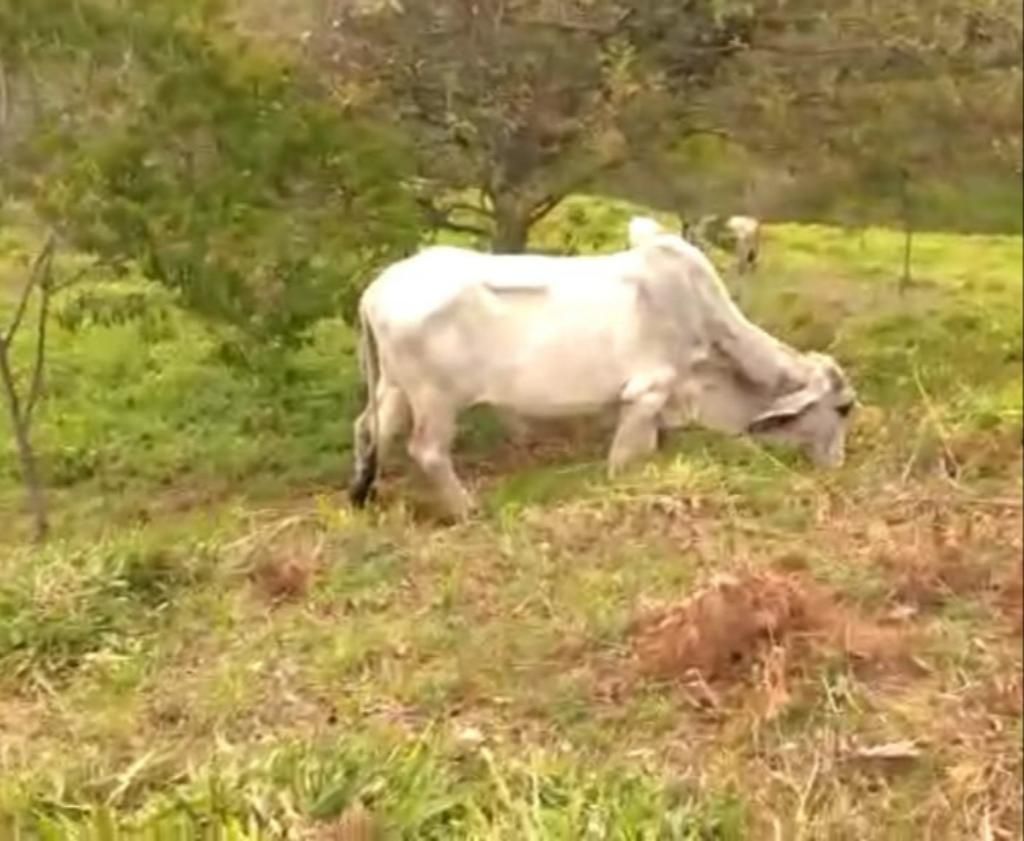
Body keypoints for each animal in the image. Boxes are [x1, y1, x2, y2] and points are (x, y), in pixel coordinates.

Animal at [352, 216, 856, 518]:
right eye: (844, 408)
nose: (838, 465)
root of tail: (377, 289)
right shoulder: (645, 395)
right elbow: (622, 461)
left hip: (395, 388)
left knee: (370, 429)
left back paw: (361, 495)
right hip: (436, 398)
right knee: (427, 450)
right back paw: (467, 510)